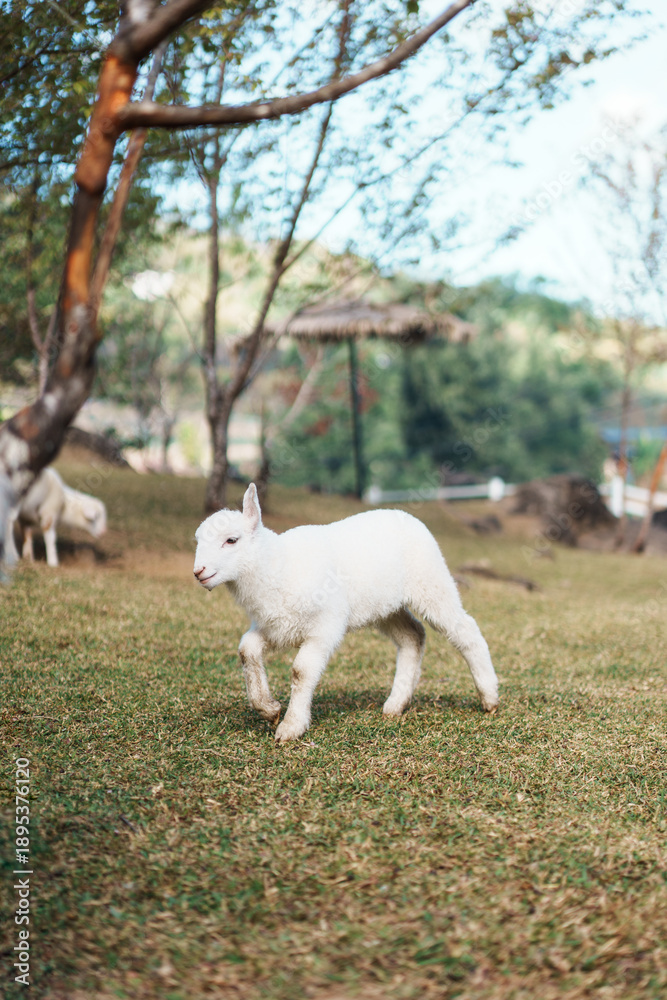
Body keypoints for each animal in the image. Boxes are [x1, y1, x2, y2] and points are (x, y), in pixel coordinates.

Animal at [194, 483, 499, 743]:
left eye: (231, 540)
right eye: (197, 541)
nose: (199, 572)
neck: (278, 566)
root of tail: (406, 514)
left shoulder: (326, 626)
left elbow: (301, 671)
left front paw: (291, 726)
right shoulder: (274, 626)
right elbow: (247, 650)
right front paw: (268, 708)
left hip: (431, 582)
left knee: (465, 629)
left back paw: (489, 697)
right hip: (385, 608)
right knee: (413, 636)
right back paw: (396, 704)